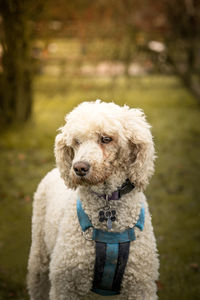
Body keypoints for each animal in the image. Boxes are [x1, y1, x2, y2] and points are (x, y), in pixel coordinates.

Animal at [27, 101, 159, 300]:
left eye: (106, 139)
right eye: (76, 141)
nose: (79, 168)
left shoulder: (140, 287)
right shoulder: (66, 286)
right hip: (39, 256)